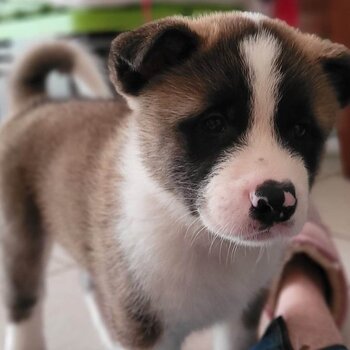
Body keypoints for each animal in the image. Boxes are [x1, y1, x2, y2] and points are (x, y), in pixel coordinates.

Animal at [0, 11, 350, 350]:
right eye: (213, 123)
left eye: (301, 130)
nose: (276, 201)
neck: (201, 235)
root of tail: (36, 105)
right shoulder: (144, 330)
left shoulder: (240, 319)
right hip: (22, 238)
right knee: (24, 304)